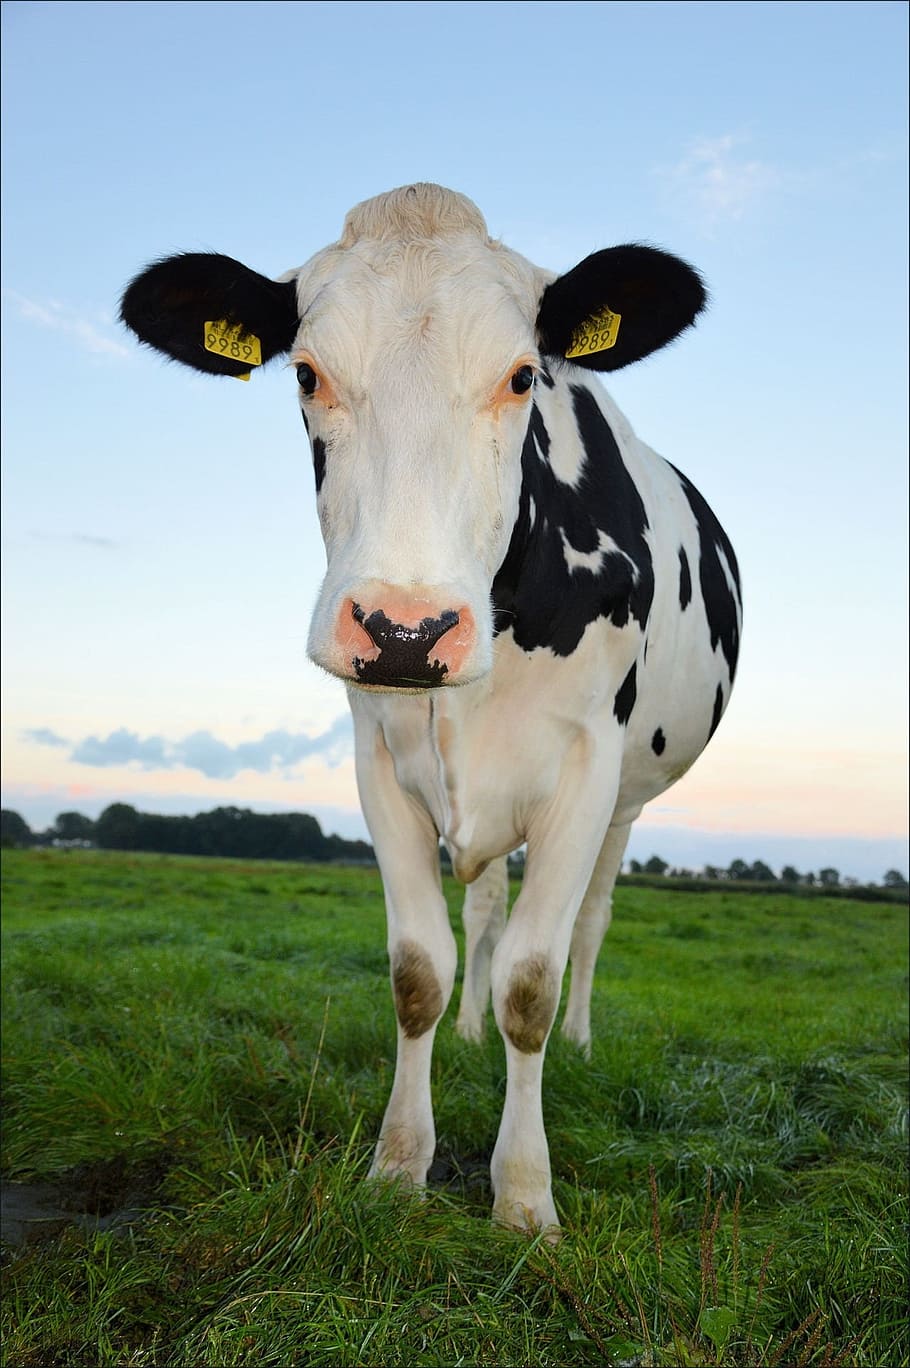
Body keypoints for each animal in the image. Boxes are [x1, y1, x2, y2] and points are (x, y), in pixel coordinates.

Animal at [120, 182, 741, 1233]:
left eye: (523, 376)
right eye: (307, 374)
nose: (407, 630)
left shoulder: (587, 767)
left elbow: (532, 982)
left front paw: (525, 1198)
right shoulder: (378, 755)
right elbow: (420, 969)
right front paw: (398, 1167)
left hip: (628, 801)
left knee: (589, 923)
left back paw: (581, 1043)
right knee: (486, 906)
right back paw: (468, 1036)